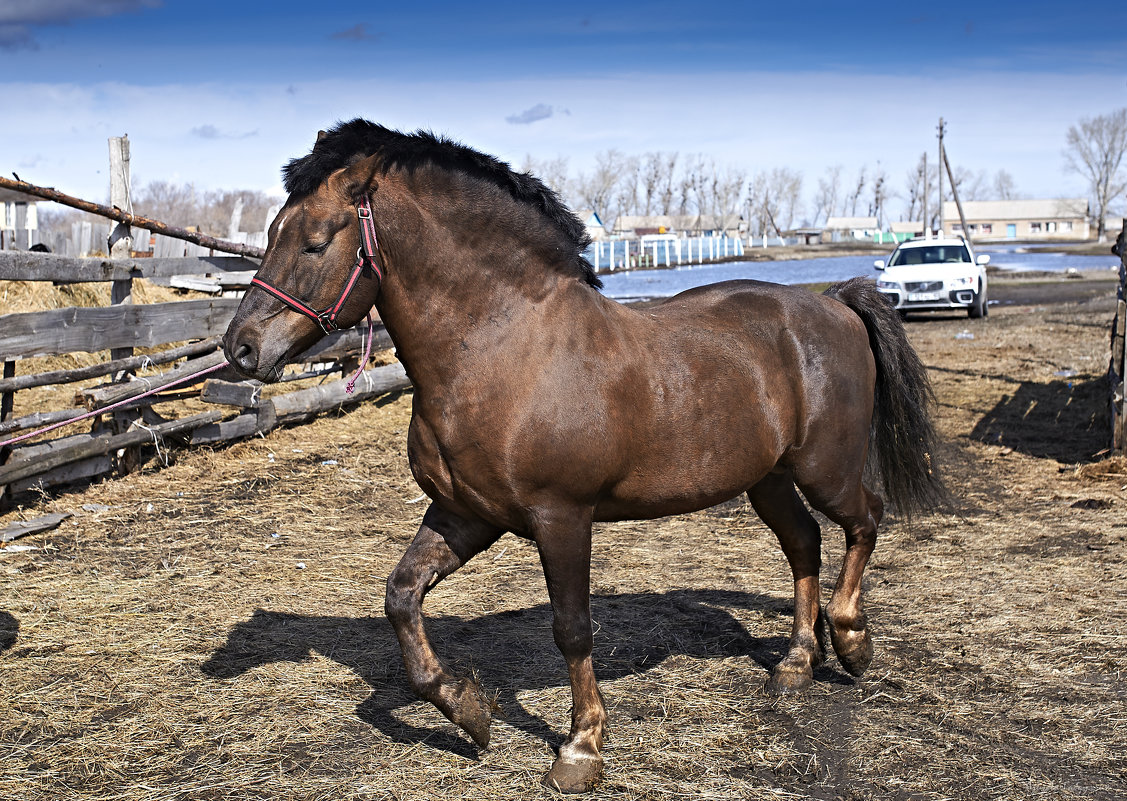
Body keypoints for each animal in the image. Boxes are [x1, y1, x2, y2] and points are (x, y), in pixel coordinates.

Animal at [219, 120, 942, 797]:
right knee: (803, 544)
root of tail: (833, 303)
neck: (504, 348)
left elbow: (572, 628)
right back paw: (794, 664)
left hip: (825, 467)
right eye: (273, 231)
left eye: (316, 240)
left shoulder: (561, 517)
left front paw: (580, 749)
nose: (241, 347)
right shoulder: (464, 514)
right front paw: (469, 711)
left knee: (864, 520)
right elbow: (401, 596)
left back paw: (851, 640)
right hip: (767, 478)